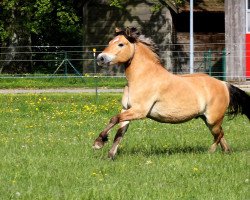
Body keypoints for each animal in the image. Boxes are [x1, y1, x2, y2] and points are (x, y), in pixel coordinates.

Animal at [93, 27, 250, 159]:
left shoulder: (139, 111)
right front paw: (110, 155)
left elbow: (114, 119)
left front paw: (98, 142)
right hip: (208, 120)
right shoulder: (126, 109)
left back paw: (209, 153)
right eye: (109, 42)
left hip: (213, 119)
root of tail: (224, 84)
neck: (141, 77)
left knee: (219, 135)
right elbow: (119, 132)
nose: (100, 58)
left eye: (121, 44)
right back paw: (226, 152)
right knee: (221, 135)